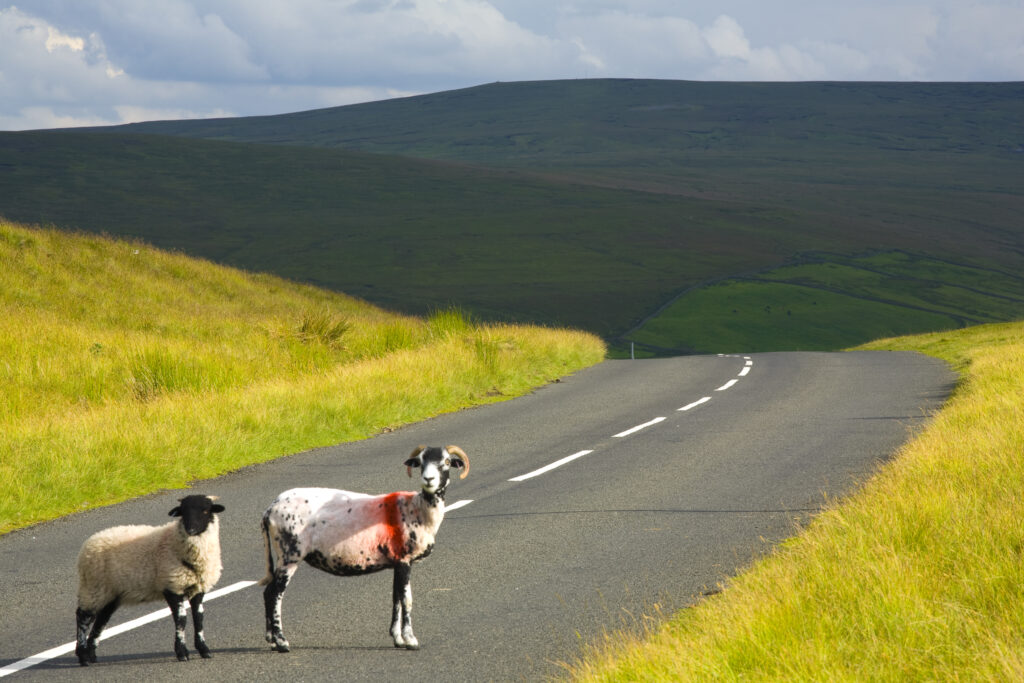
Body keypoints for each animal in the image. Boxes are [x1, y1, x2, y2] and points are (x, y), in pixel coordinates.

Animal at [74, 494, 225, 666]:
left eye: (206, 511)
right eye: (183, 511)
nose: (190, 530)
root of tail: (89, 543)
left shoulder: (198, 588)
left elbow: (199, 618)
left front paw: (204, 649)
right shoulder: (172, 586)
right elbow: (181, 619)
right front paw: (182, 652)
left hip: (110, 593)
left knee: (101, 619)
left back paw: (91, 655)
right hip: (93, 587)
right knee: (83, 617)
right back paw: (83, 656)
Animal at [259, 444, 469, 652]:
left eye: (446, 462)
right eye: (421, 462)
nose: (428, 479)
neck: (418, 510)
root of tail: (270, 509)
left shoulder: (397, 561)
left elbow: (396, 598)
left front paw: (397, 639)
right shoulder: (404, 559)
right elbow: (407, 599)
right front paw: (410, 640)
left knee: (268, 592)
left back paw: (271, 639)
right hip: (290, 554)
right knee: (275, 594)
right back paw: (282, 642)